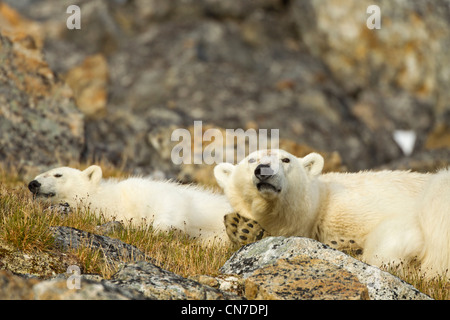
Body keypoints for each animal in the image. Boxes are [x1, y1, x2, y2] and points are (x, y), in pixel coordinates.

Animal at [28, 166, 234, 244]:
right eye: (40, 173)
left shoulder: (138, 190)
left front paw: (160, 228)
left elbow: (171, 202)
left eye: (58, 174)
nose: (33, 184)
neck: (111, 200)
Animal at [214, 149, 450, 278]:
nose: (264, 170)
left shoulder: (353, 206)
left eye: (286, 159)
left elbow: (400, 232)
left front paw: (349, 247)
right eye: (251, 160)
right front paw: (243, 228)